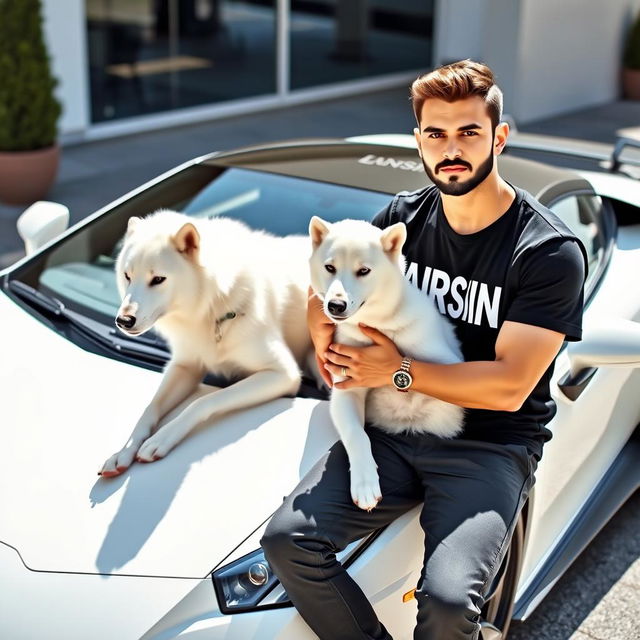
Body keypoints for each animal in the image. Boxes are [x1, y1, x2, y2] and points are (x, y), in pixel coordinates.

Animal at [99, 210, 316, 476]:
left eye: (158, 279)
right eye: (127, 276)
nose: (123, 321)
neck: (210, 306)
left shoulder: (284, 374)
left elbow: (204, 400)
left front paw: (161, 438)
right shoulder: (184, 366)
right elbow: (149, 408)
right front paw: (124, 451)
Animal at [310, 218, 464, 512]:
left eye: (364, 271)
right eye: (329, 267)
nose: (335, 305)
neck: (377, 324)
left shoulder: (449, 364)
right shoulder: (346, 389)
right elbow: (357, 435)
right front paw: (365, 483)